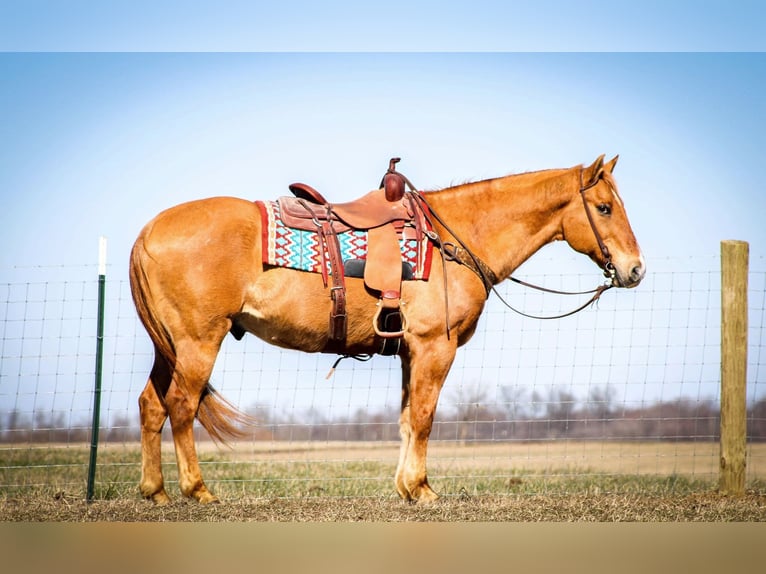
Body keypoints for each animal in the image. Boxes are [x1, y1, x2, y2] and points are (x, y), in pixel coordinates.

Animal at [132, 155, 648, 506]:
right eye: (604, 208)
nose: (635, 270)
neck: (453, 239)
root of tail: (148, 231)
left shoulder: (407, 352)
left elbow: (405, 419)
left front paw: (406, 487)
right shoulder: (435, 347)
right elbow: (423, 417)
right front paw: (422, 489)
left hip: (168, 347)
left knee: (151, 406)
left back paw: (156, 490)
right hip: (198, 342)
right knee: (181, 406)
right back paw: (197, 490)